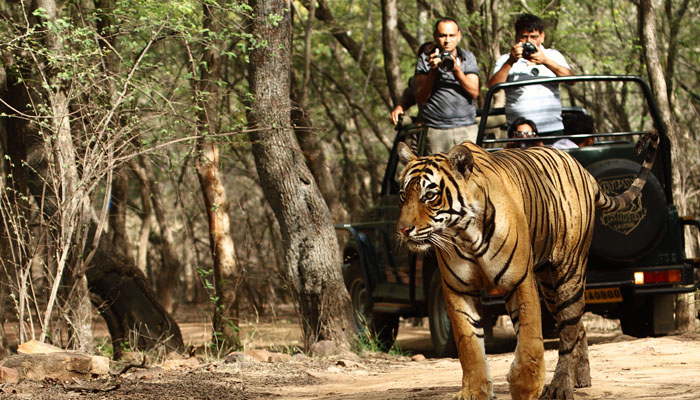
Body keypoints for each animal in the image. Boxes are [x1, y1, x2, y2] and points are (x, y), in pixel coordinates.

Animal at [396, 134, 660, 400]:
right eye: (402, 195)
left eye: (429, 196)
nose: (403, 230)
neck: (465, 234)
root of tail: (583, 169)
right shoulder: (457, 289)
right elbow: (468, 344)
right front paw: (474, 391)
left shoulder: (519, 280)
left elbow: (529, 338)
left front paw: (525, 387)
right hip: (549, 286)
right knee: (577, 326)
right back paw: (581, 377)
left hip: (569, 272)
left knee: (568, 330)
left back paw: (561, 386)